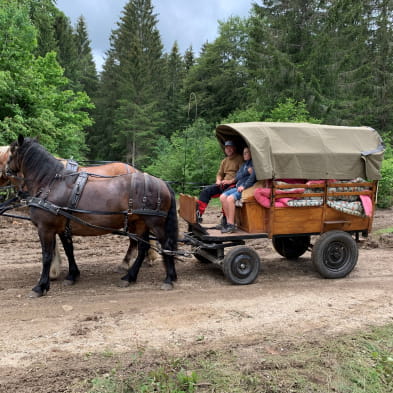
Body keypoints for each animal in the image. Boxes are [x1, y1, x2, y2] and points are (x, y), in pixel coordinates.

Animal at [5, 136, 178, 298]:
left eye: (11, 152)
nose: (6, 169)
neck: (50, 183)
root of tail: (162, 182)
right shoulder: (62, 227)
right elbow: (68, 250)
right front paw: (72, 276)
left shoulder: (45, 228)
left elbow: (46, 256)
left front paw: (40, 287)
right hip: (140, 223)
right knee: (142, 248)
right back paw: (129, 277)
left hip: (155, 223)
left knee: (166, 245)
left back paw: (168, 279)